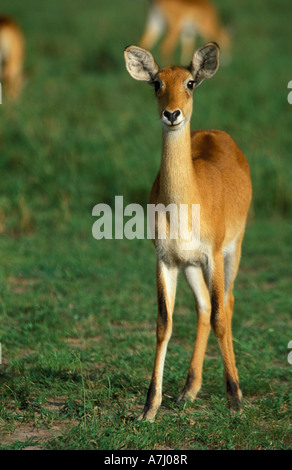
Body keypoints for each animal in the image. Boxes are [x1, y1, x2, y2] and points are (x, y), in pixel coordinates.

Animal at [124, 42, 252, 420]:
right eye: (156, 83)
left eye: (190, 82)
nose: (172, 114)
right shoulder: (165, 260)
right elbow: (164, 323)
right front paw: (149, 408)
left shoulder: (213, 256)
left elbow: (222, 316)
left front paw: (235, 401)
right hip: (192, 265)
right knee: (204, 309)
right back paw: (188, 390)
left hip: (232, 251)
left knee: (226, 304)